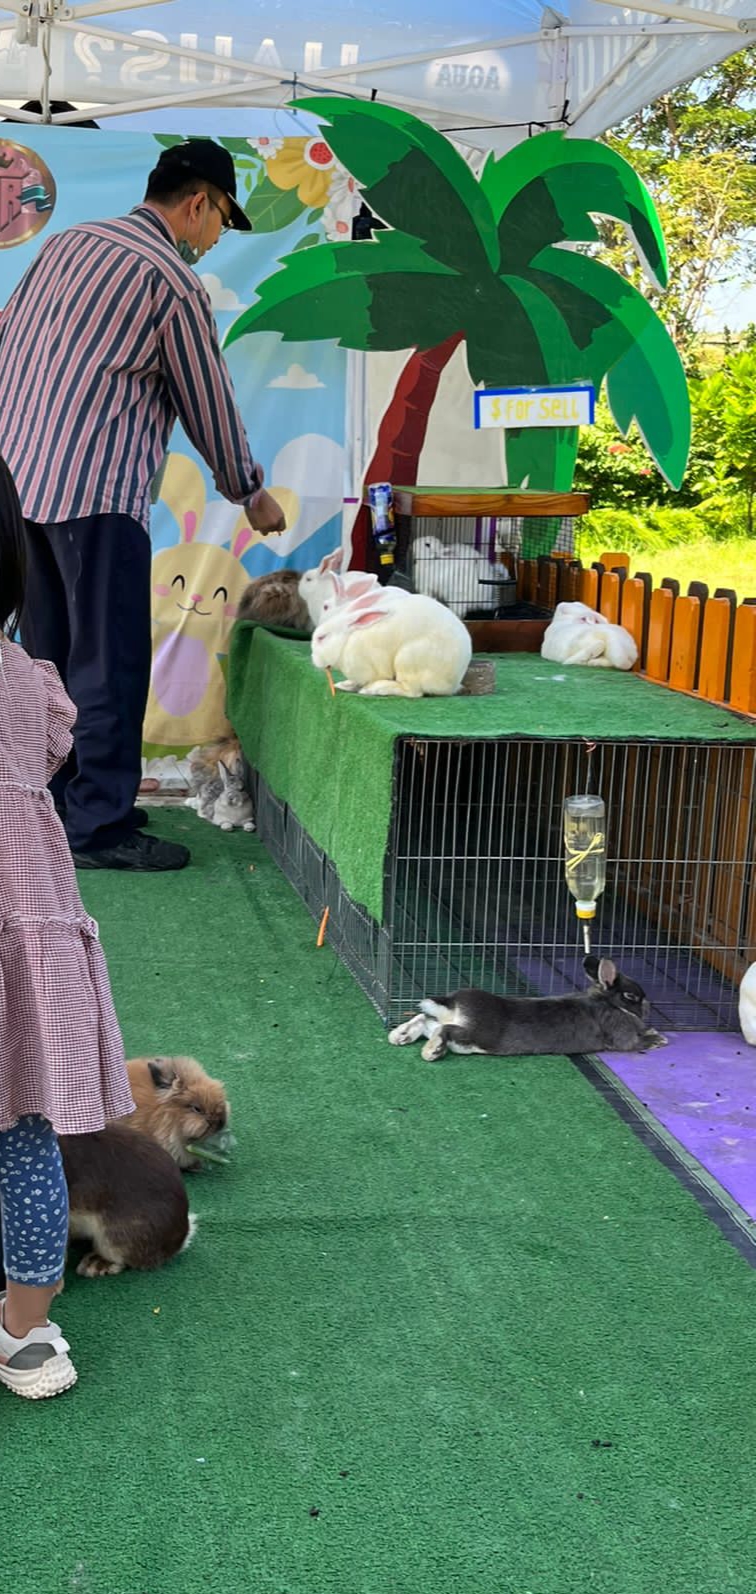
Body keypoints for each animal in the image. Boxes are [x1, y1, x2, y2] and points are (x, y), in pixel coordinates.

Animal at [311, 589, 472, 698]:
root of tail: (453, 682)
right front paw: (345, 685)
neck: (346, 641)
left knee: (413, 692)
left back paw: (376, 689)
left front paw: (363, 687)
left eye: (321, 638)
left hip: (408, 659)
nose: (314, 660)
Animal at [388, 955, 667, 1061]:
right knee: (443, 1031)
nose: (648, 1006)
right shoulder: (622, 1036)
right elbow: (635, 1043)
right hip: (476, 1035)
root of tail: (455, 1003)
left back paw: (400, 1036)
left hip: (454, 1029)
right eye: (631, 996)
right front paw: (658, 1039)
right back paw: (431, 1052)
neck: (607, 1001)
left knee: (426, 1020)